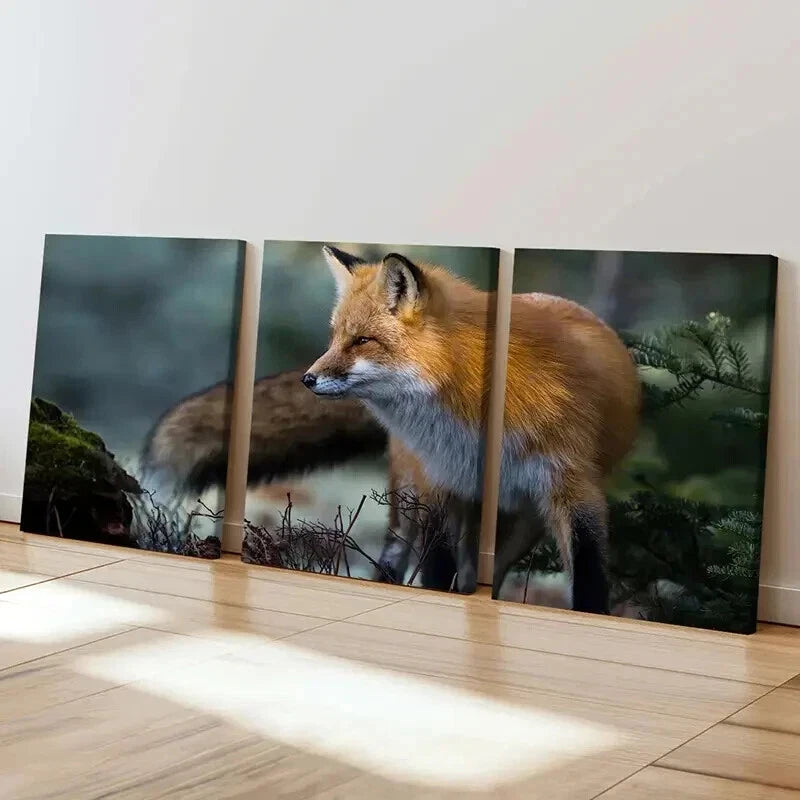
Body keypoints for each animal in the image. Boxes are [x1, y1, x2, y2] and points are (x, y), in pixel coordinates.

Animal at [302, 245, 641, 613]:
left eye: (362, 340)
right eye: (335, 338)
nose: (307, 378)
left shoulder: (574, 486)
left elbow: (589, 577)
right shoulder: (440, 484)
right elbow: (437, 569)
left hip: (521, 524)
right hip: (409, 500)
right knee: (398, 554)